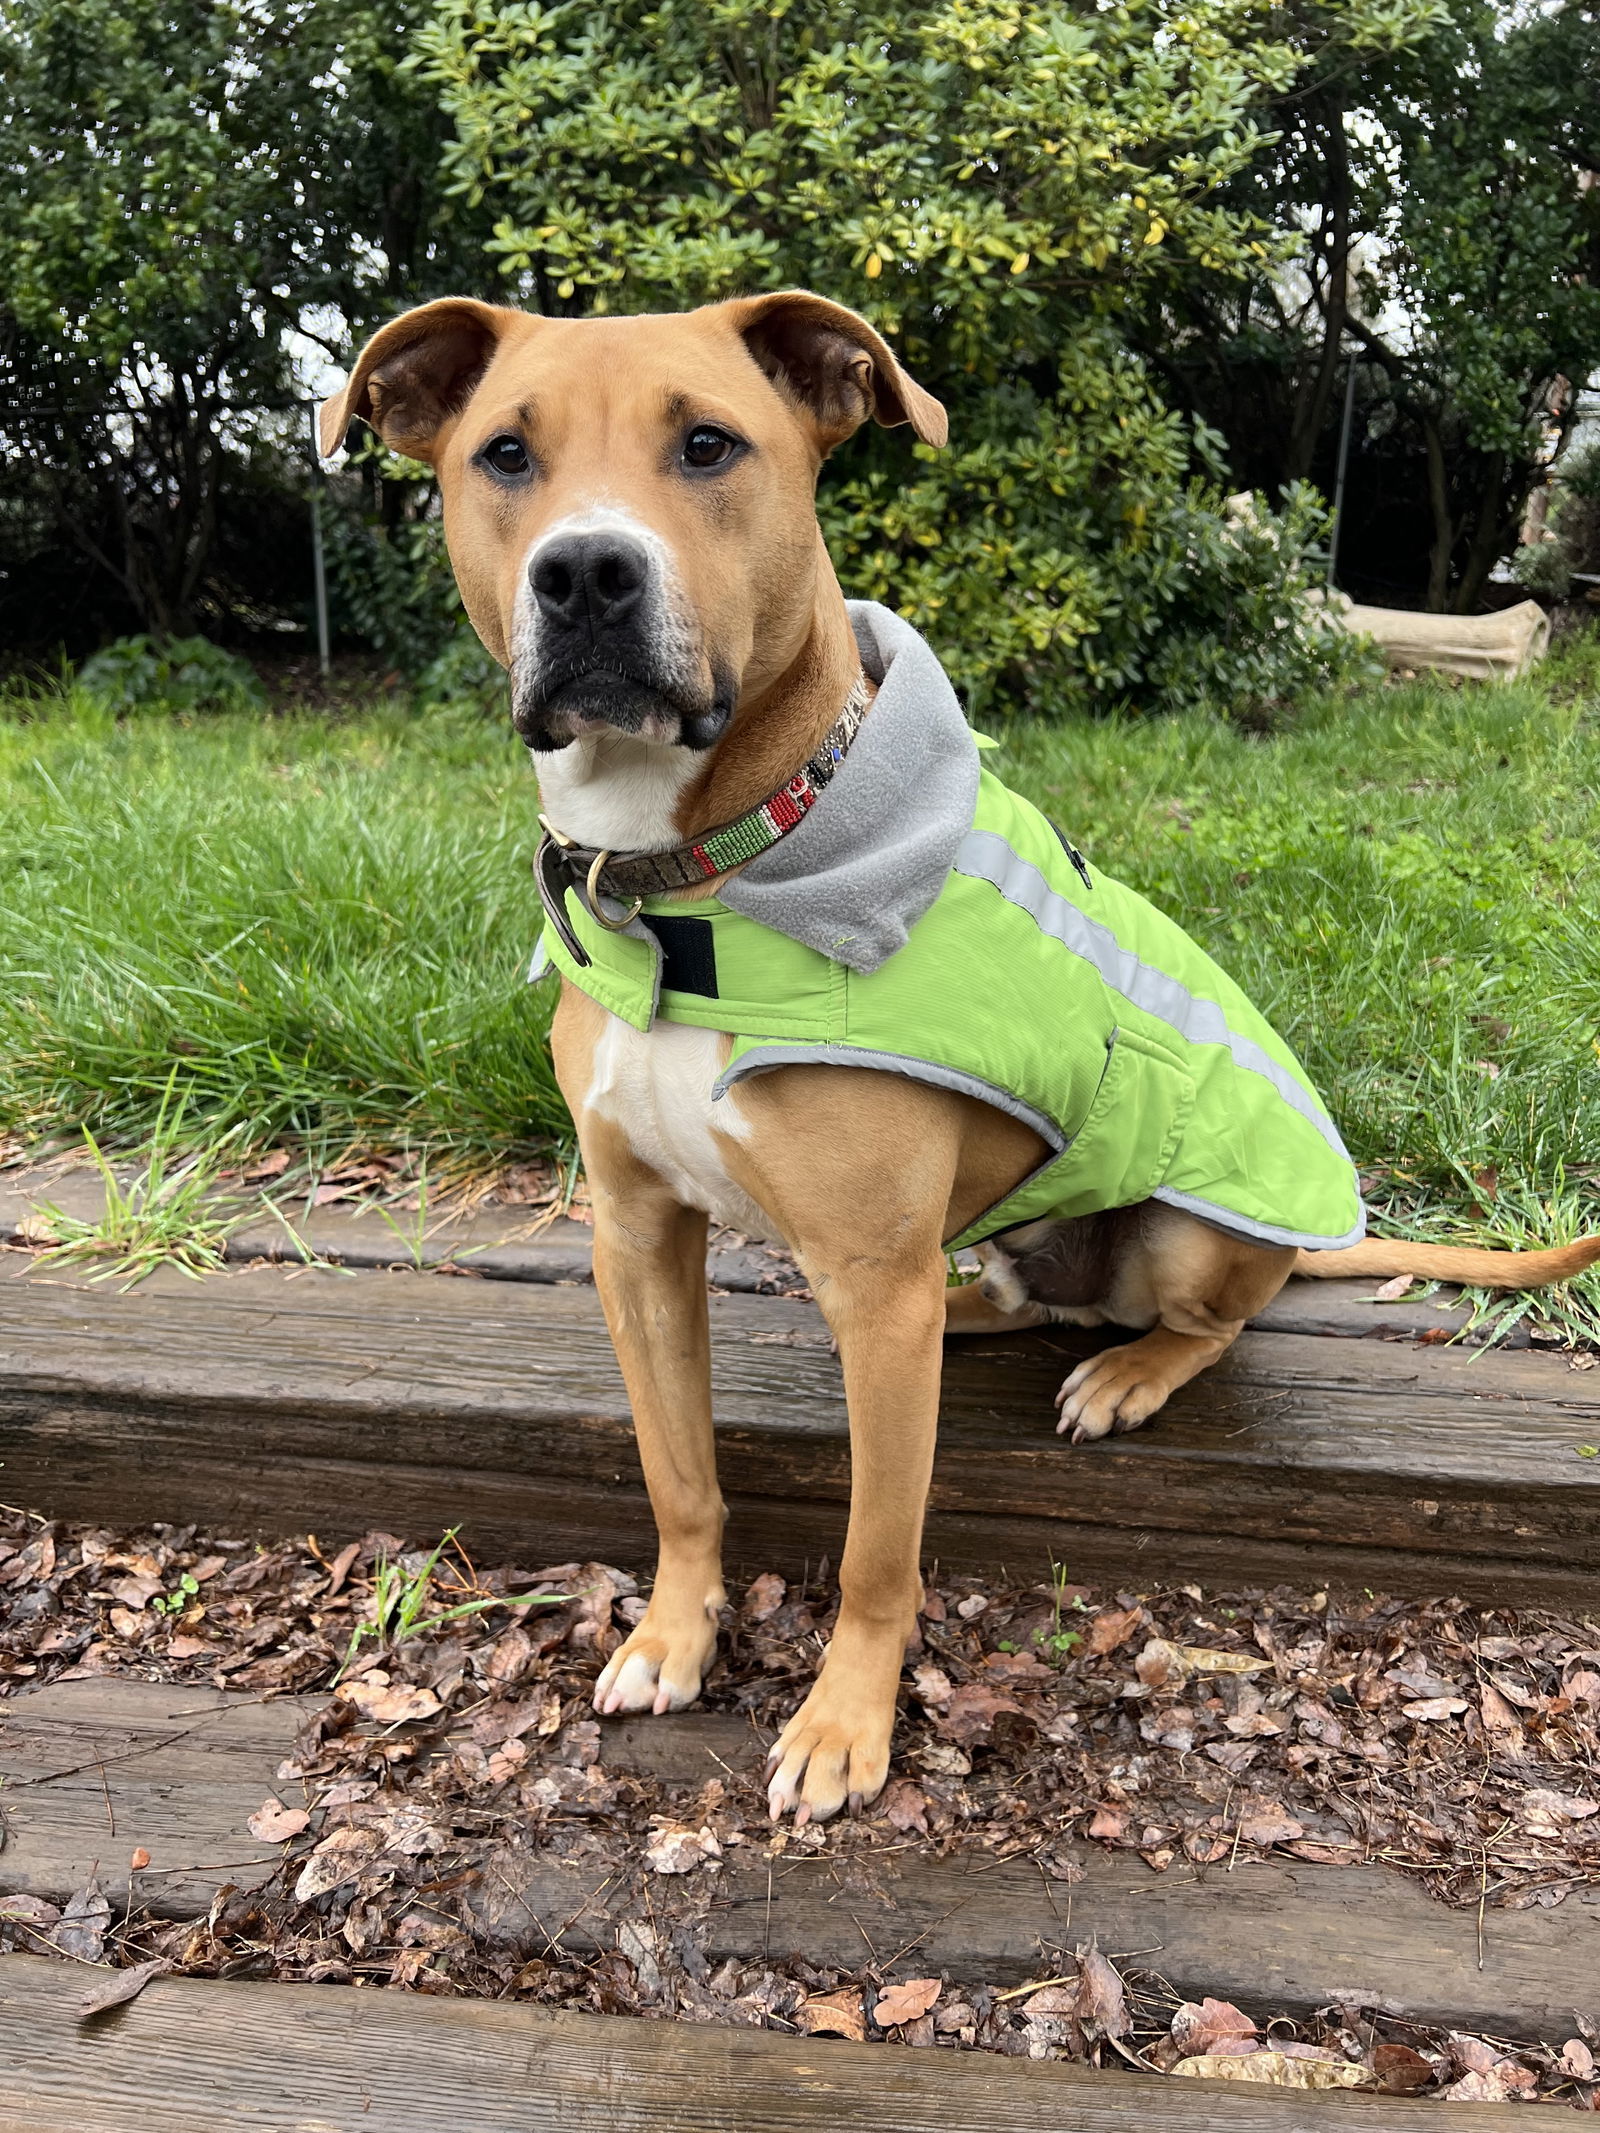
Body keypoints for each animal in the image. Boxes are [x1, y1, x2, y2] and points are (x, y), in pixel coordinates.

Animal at [322, 296, 1600, 1834]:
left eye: (709, 444)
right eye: (505, 454)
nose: (584, 571)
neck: (692, 887)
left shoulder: (868, 1278)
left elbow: (880, 1546)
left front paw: (843, 1723)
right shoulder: (636, 1238)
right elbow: (680, 1473)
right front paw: (676, 1631)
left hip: (1186, 1238)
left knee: (1204, 1321)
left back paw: (1130, 1371)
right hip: (959, 1260)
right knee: (1005, 1294)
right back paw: (986, 1312)